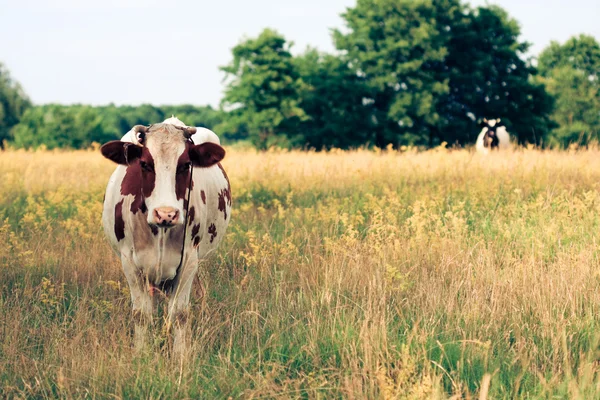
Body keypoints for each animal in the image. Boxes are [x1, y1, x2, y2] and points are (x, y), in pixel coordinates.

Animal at [99, 116, 231, 354]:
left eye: (186, 165)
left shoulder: (188, 261)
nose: (166, 214)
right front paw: (141, 354)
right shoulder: (129, 263)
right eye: (144, 164)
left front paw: (179, 356)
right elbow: (141, 314)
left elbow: (179, 314)